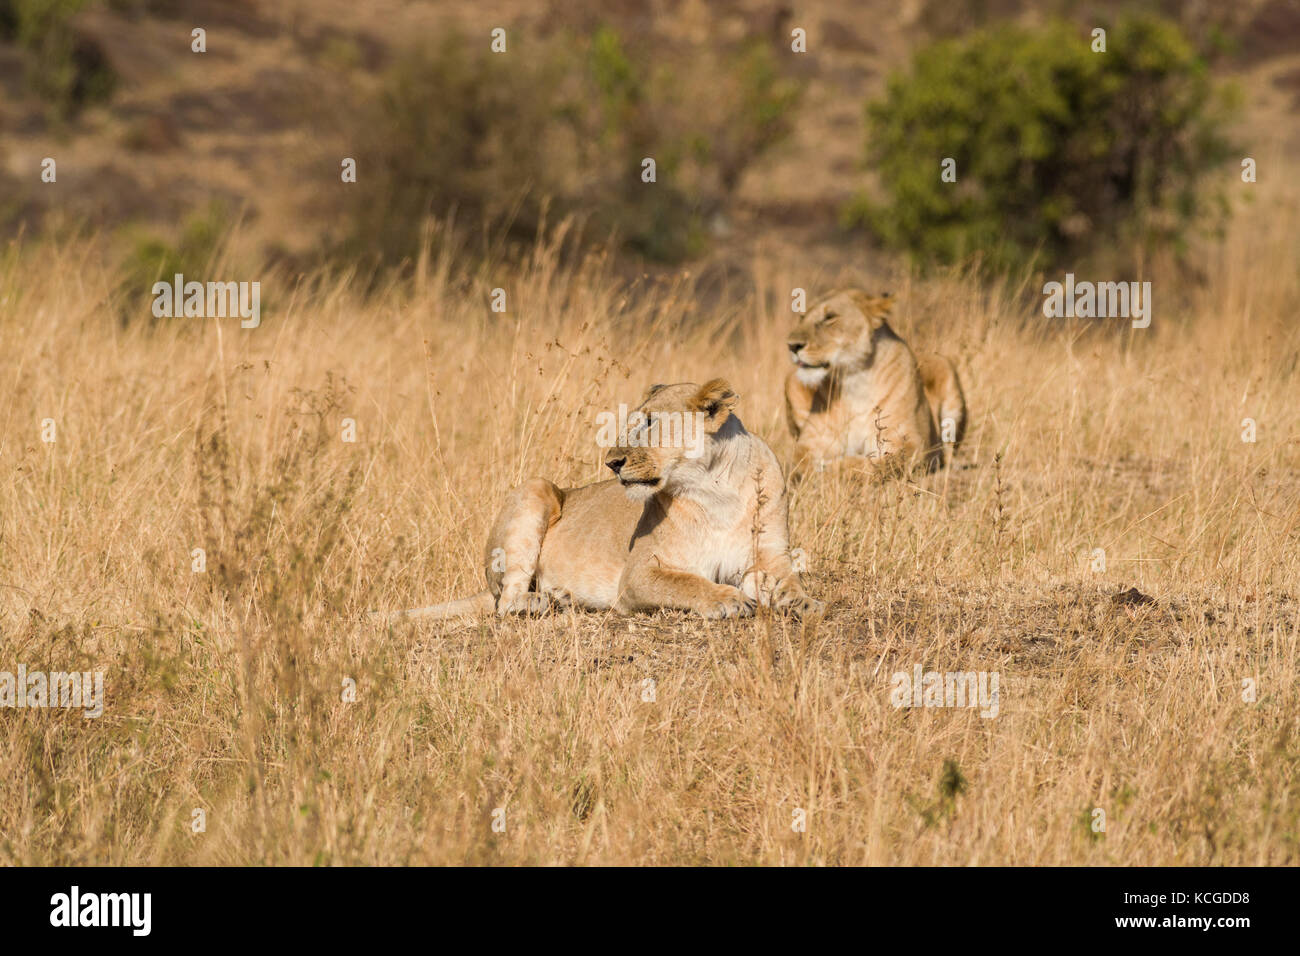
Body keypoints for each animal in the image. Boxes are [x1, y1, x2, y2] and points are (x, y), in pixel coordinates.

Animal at [378, 379, 822, 622]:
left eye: (650, 423)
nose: (611, 462)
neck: (716, 488)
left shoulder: (768, 560)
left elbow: (789, 584)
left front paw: (806, 603)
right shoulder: (639, 574)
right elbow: (688, 583)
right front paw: (727, 600)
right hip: (535, 488)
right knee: (506, 601)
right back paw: (543, 601)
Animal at [784, 289, 966, 478]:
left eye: (830, 317)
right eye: (802, 317)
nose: (792, 346)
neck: (855, 380)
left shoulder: (911, 443)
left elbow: (873, 466)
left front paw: (830, 467)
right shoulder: (810, 442)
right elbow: (799, 461)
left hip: (944, 367)